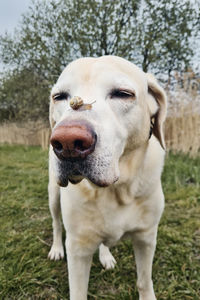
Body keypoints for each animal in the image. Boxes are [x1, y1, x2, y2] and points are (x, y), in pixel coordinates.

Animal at [47, 55, 166, 298]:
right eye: (59, 97)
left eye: (123, 93)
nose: (67, 142)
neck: (117, 189)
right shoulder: (78, 248)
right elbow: (78, 292)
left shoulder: (147, 237)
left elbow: (144, 281)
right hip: (53, 194)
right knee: (56, 223)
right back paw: (56, 248)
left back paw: (105, 255)